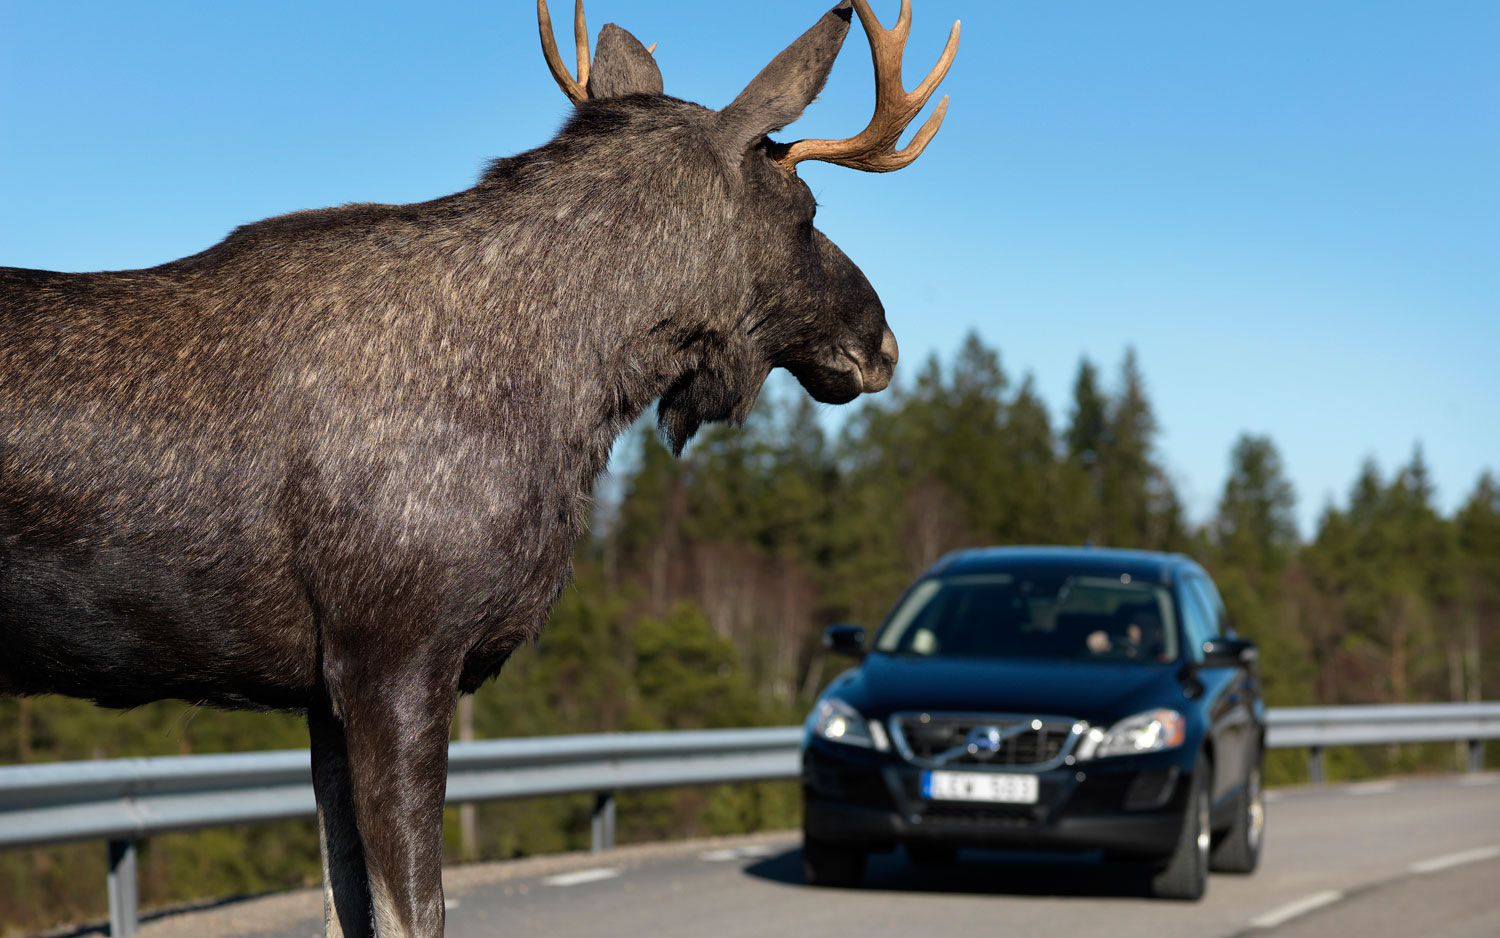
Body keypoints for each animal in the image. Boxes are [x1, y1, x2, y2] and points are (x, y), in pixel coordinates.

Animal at [0, 3, 954, 930]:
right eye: (807, 211)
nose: (882, 342)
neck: (570, 393)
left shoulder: (322, 692)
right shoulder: (396, 656)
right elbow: (413, 911)